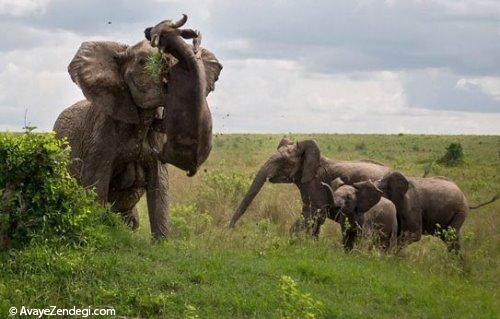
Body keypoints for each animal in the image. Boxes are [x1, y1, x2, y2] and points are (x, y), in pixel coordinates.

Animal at [53, 15, 223, 240]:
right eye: (143, 63)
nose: (151, 30)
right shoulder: (101, 134)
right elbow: (96, 184)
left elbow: (160, 187)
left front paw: (160, 244)